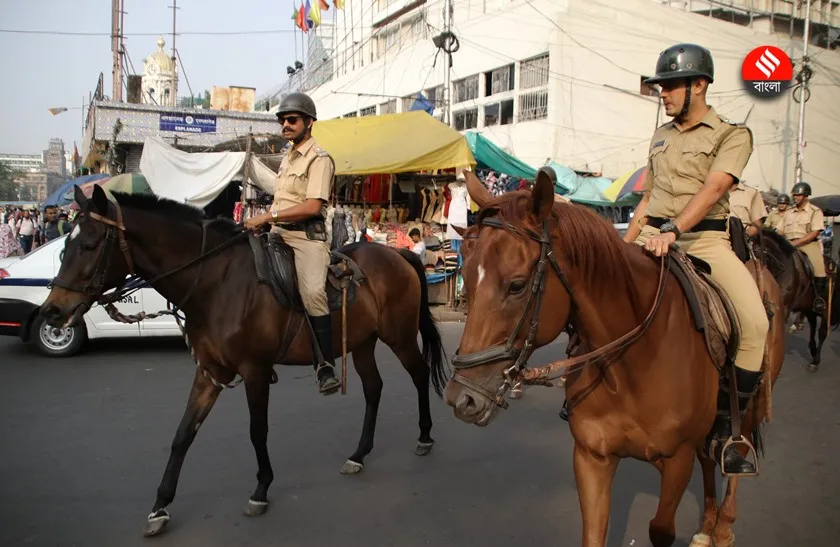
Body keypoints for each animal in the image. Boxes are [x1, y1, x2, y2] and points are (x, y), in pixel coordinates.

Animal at [41, 186, 446, 536]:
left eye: (89, 244)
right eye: (64, 247)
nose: (52, 310)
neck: (215, 281)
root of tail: (398, 255)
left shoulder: (255, 371)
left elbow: (257, 430)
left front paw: (261, 490)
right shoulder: (210, 372)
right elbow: (183, 435)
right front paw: (160, 506)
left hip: (399, 337)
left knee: (419, 373)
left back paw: (425, 436)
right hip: (362, 343)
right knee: (374, 388)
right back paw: (359, 454)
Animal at [446, 172, 788, 547]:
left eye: (517, 286)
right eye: (467, 283)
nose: (461, 398)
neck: (631, 364)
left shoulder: (677, 461)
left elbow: (661, 529)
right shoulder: (592, 458)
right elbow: (594, 533)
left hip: (751, 408)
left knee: (734, 452)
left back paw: (723, 526)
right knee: (708, 459)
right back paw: (706, 525)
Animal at [752, 227, 832, 372]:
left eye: (757, 256)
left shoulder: (783, 308)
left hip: (825, 309)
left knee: (822, 331)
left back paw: (815, 360)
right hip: (807, 306)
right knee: (812, 323)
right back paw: (812, 348)